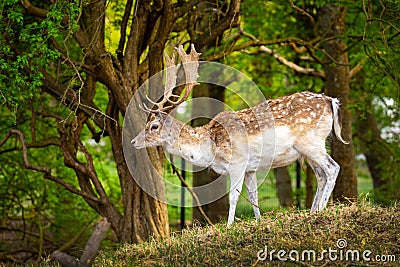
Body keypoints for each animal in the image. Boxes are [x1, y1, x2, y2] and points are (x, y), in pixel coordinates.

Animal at [131, 44, 346, 226]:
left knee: (332, 168)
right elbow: (253, 195)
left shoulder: (238, 163)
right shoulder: (250, 168)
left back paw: (322, 209)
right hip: (308, 150)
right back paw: (312, 211)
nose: (133, 141)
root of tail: (332, 101)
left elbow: (233, 196)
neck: (210, 148)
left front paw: (229, 225)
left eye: (154, 126)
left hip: (311, 142)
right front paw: (258, 221)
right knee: (321, 175)